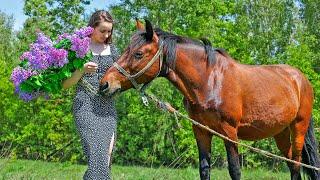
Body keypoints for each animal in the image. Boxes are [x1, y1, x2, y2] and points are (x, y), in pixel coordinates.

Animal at [99, 19, 318, 180]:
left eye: (138, 53)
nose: (105, 85)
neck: (210, 81)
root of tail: (301, 79)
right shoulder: (201, 131)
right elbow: (204, 168)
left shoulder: (230, 132)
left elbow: (235, 170)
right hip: (280, 131)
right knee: (292, 164)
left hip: (298, 127)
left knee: (297, 163)